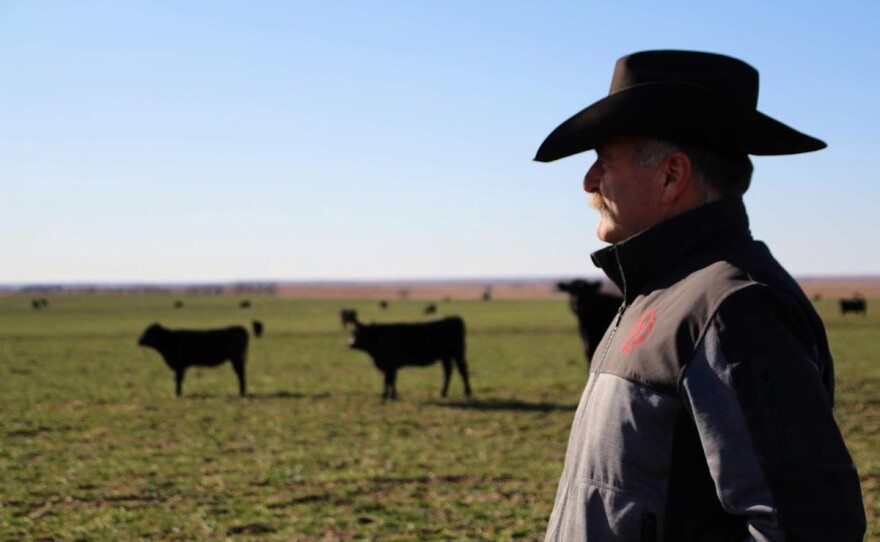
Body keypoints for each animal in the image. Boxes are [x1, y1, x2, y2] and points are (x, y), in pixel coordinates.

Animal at [346, 316, 474, 402]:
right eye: (351, 332)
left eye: (360, 333)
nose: (350, 343)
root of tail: (454, 318)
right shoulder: (390, 366)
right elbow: (390, 380)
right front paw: (390, 395)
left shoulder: (390, 365)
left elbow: (388, 380)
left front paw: (387, 396)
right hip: (445, 357)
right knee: (448, 372)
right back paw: (443, 393)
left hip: (458, 354)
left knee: (463, 371)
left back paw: (467, 392)